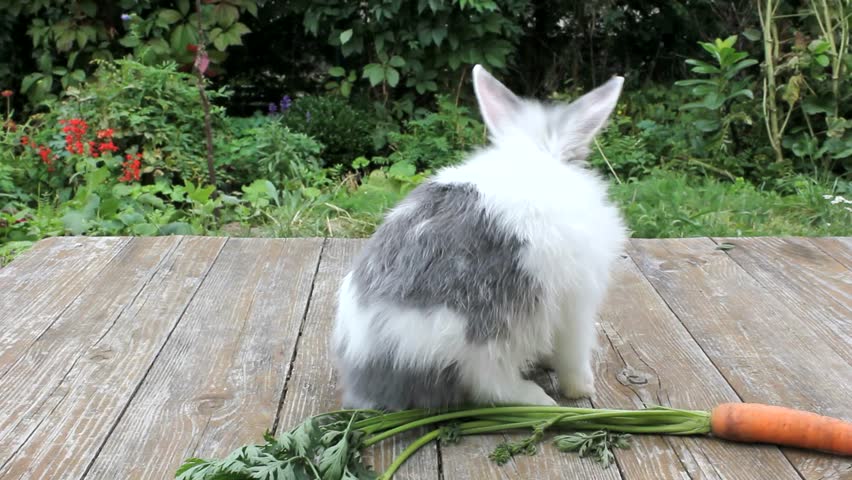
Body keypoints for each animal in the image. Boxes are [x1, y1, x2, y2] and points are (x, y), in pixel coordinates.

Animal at [331, 64, 628, 410]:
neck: (534, 153)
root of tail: (373, 368)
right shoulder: (576, 302)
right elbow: (573, 354)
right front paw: (582, 389)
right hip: (482, 342)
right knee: (493, 387)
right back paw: (541, 400)